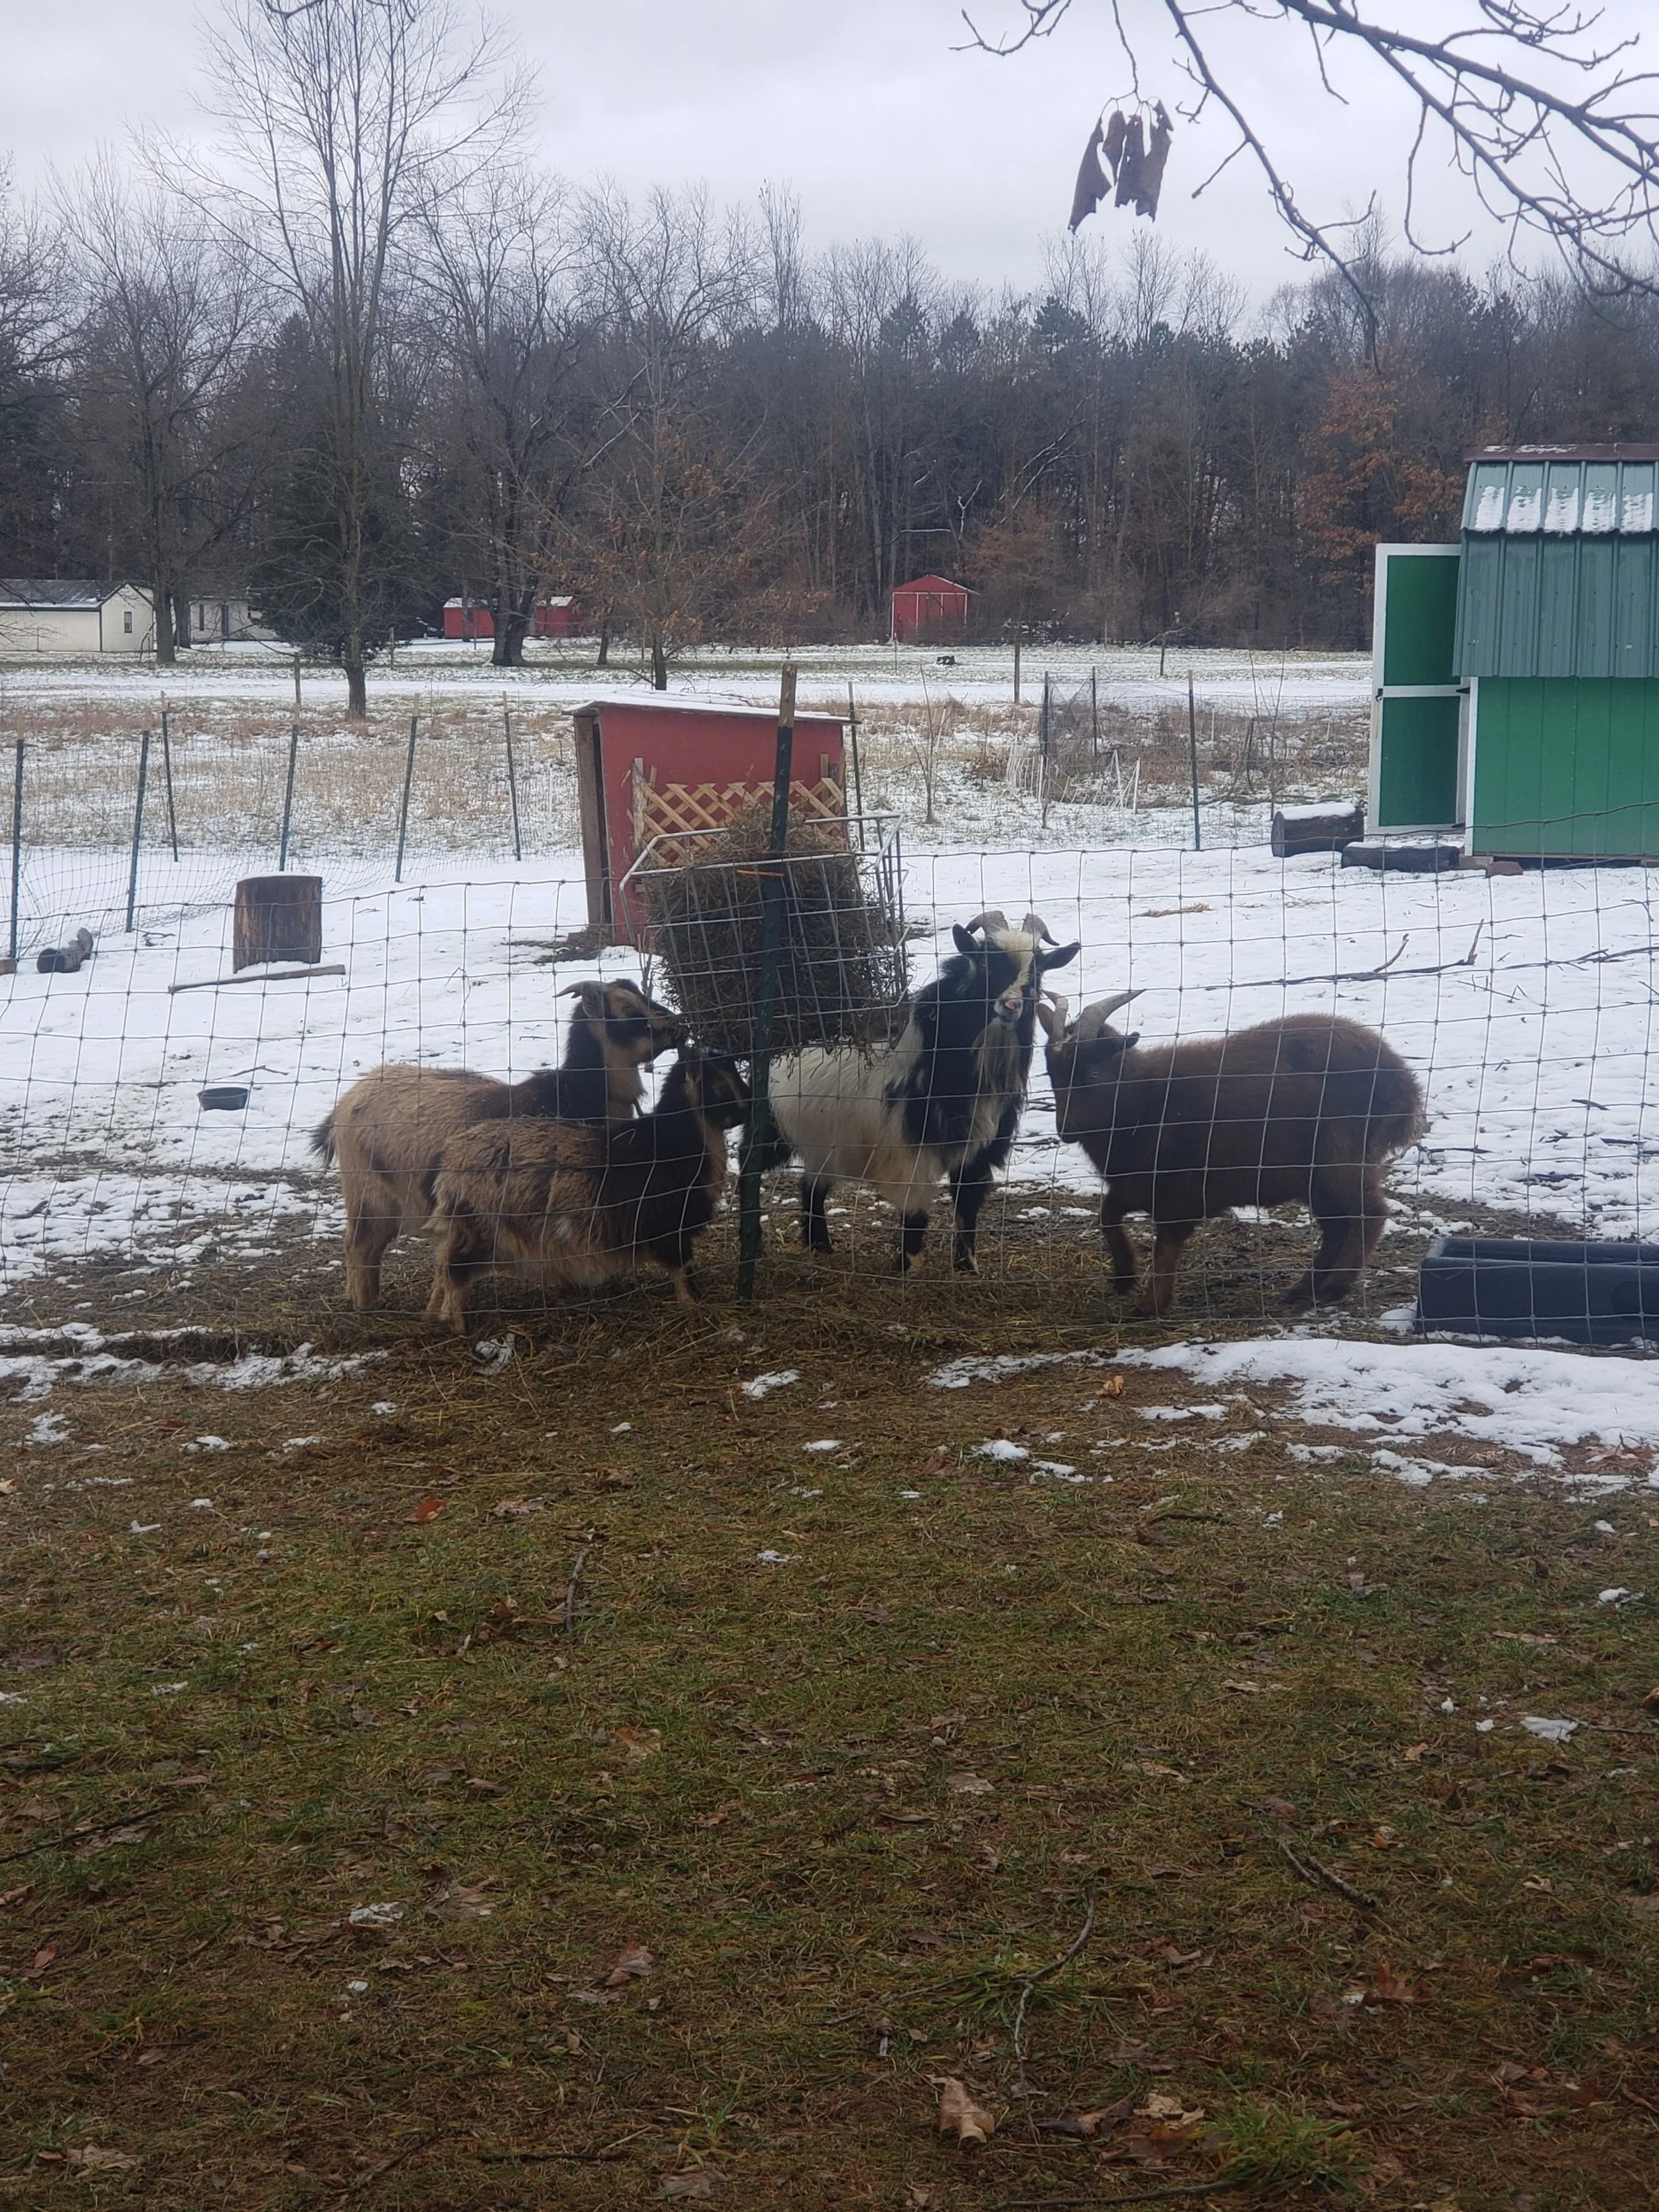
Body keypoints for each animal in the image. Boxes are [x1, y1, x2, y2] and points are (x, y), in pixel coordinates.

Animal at [310, 979, 683, 1310]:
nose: (678, 1026)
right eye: (628, 1011)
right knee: (359, 1245)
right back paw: (364, 1305)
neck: (569, 1097)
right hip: (368, 1192)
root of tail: (346, 1102)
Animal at [424, 1051, 751, 1334]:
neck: (678, 1145)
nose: (750, 1106)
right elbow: (681, 1268)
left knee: (443, 1260)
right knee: (454, 1269)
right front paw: (691, 1304)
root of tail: (450, 1165)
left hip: (468, 1227)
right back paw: (458, 1324)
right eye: (720, 1087)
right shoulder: (669, 1226)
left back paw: (438, 1313)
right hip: (484, 1231)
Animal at [756, 910, 1079, 1273]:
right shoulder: (909, 1149)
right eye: (984, 963)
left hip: (826, 1141)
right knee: (748, 1170)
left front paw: (967, 1266)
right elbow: (916, 1210)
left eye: (1037, 972)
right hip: (772, 1128)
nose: (1011, 1005)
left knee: (812, 1186)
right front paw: (907, 1266)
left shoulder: (979, 1151)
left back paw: (820, 1247)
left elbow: (966, 1208)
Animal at [1039, 994, 1426, 1315]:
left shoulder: (1181, 1195)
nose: (1066, 1130)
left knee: (1369, 1214)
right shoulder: (1138, 1187)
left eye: (1092, 1072)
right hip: (1317, 1178)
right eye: (1053, 1076)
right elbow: (1107, 1216)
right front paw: (1123, 1277)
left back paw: (1334, 1287)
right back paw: (1304, 1290)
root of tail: (1404, 1081)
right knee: (1338, 1226)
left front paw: (1151, 1305)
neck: (1144, 1101)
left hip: (1339, 1161)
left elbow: (1165, 1248)